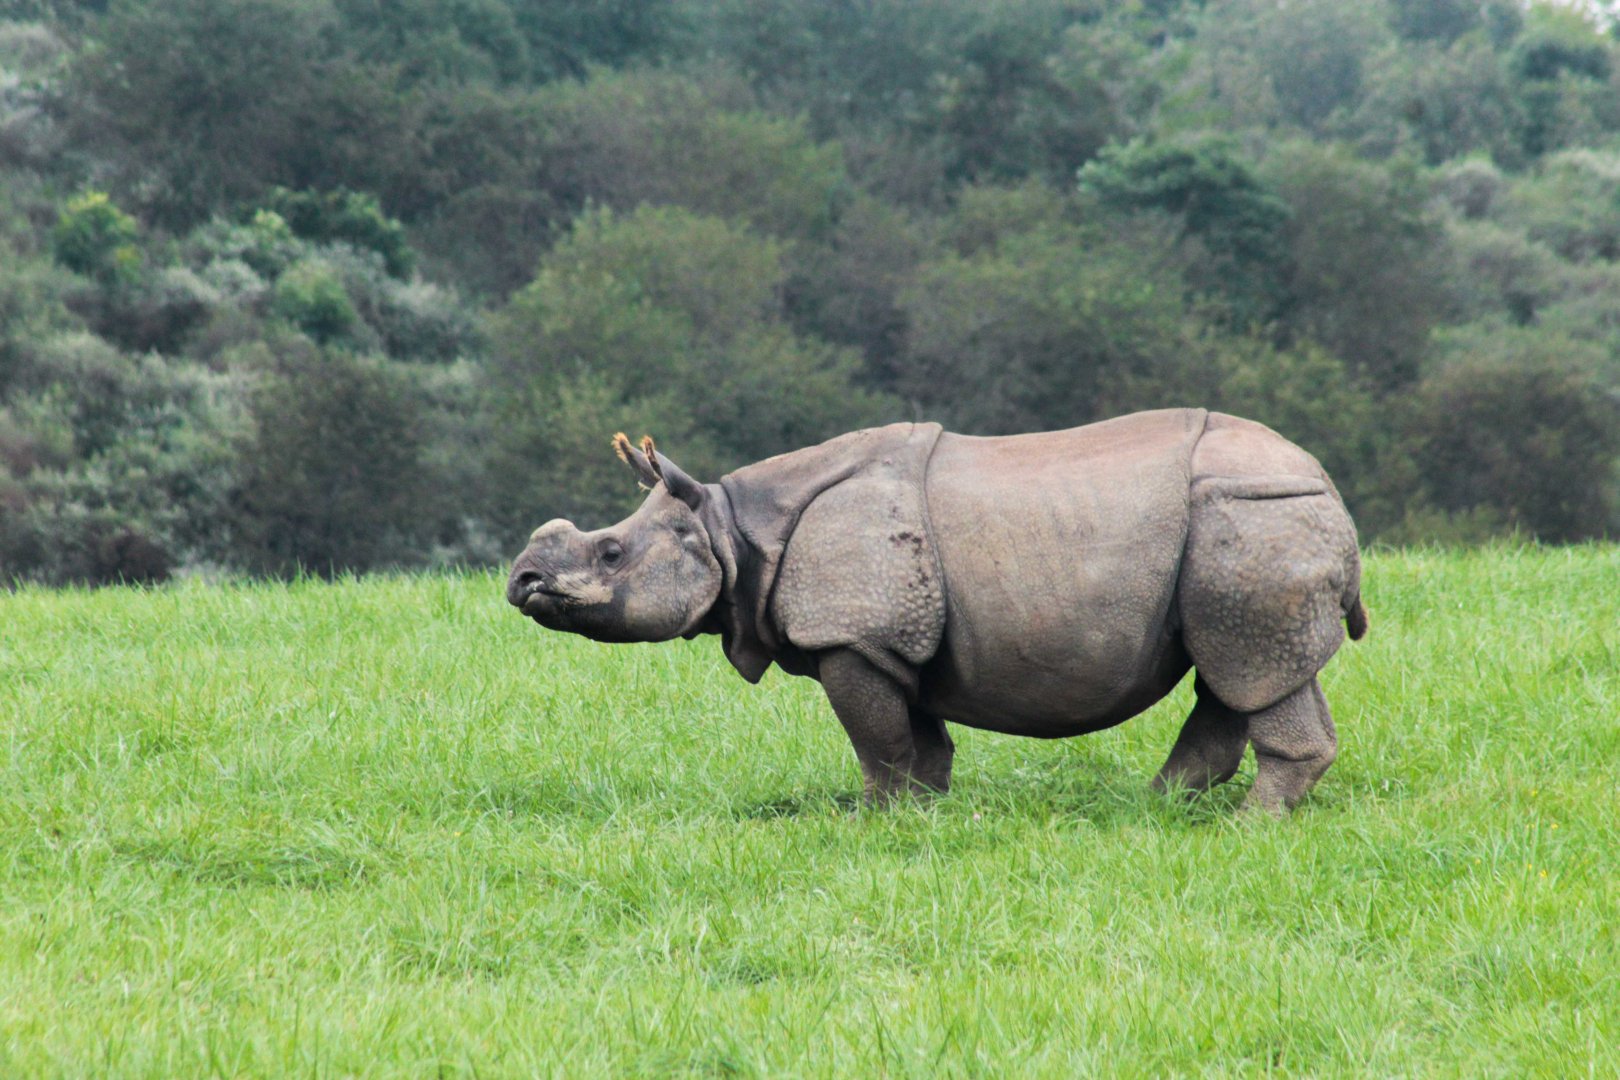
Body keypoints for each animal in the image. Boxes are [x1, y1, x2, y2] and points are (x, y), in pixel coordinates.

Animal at [506, 409, 1367, 814]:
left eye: (610, 554)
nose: (520, 581)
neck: (728, 526)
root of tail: (1330, 487)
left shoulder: (852, 633)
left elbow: (877, 739)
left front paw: (872, 818)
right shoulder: (891, 638)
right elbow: (919, 736)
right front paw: (926, 812)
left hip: (1250, 515)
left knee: (1248, 663)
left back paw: (1247, 824)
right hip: (1248, 525)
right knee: (1238, 670)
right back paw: (1155, 808)